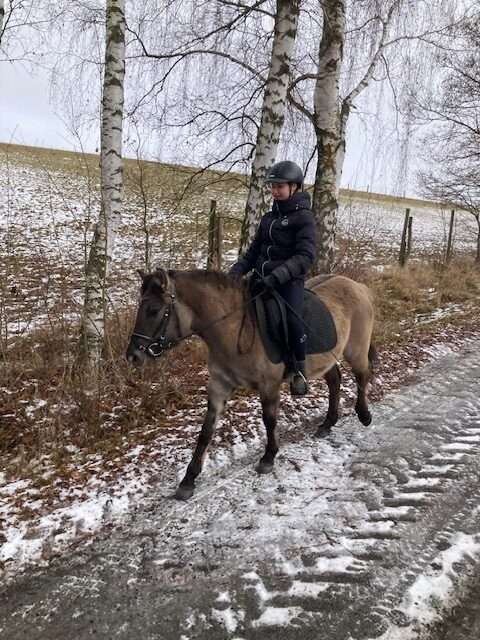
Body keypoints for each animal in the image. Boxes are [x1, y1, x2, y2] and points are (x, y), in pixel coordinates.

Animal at [126, 268, 376, 500]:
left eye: (154, 310)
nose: (133, 356)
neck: (234, 329)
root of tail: (358, 286)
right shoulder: (219, 386)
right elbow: (206, 431)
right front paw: (188, 479)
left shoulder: (269, 386)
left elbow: (269, 420)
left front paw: (268, 457)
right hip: (327, 357)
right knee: (335, 381)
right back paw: (327, 423)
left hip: (355, 349)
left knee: (362, 375)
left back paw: (364, 415)